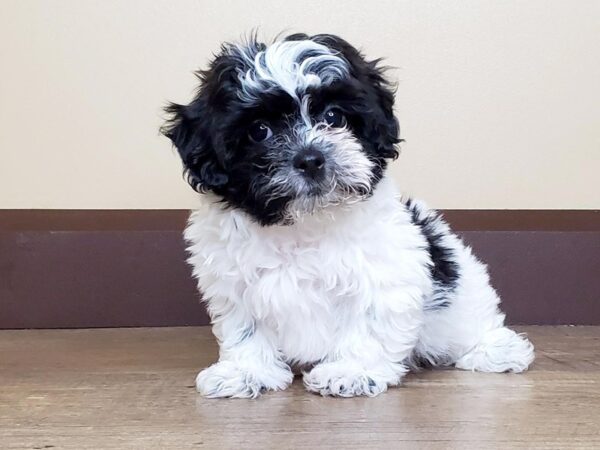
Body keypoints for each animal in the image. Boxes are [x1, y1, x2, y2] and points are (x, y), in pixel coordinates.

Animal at [161, 34, 536, 398]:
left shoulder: (384, 272)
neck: (304, 224)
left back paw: (496, 350)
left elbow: (368, 324)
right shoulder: (234, 284)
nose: (311, 159)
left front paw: (351, 371)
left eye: (334, 117)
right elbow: (246, 330)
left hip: (460, 292)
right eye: (259, 131)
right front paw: (245, 372)